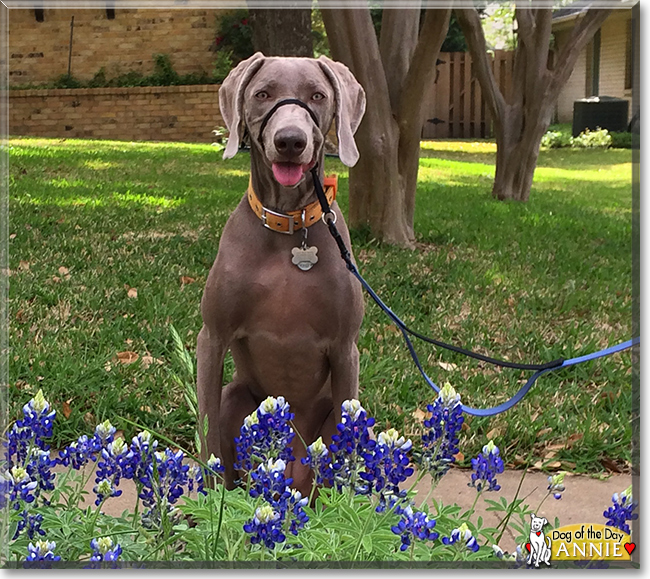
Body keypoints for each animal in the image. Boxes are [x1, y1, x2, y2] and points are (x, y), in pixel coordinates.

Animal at [195, 53, 368, 494]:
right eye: (263, 94)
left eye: (318, 95)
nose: (291, 141)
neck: (289, 226)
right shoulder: (212, 337)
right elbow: (206, 432)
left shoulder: (345, 347)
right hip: (237, 397)